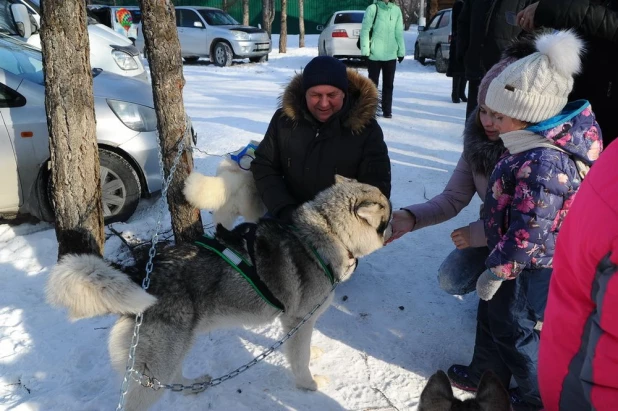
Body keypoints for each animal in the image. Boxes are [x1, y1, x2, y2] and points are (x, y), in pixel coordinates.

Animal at [45, 177, 390, 411]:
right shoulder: (297, 321)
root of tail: (141, 273)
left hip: (176, 348)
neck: (329, 234)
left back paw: (193, 385)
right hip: (159, 360)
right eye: (385, 218)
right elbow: (301, 362)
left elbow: (302, 349)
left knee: (176, 379)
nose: (394, 224)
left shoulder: (296, 324)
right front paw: (311, 386)